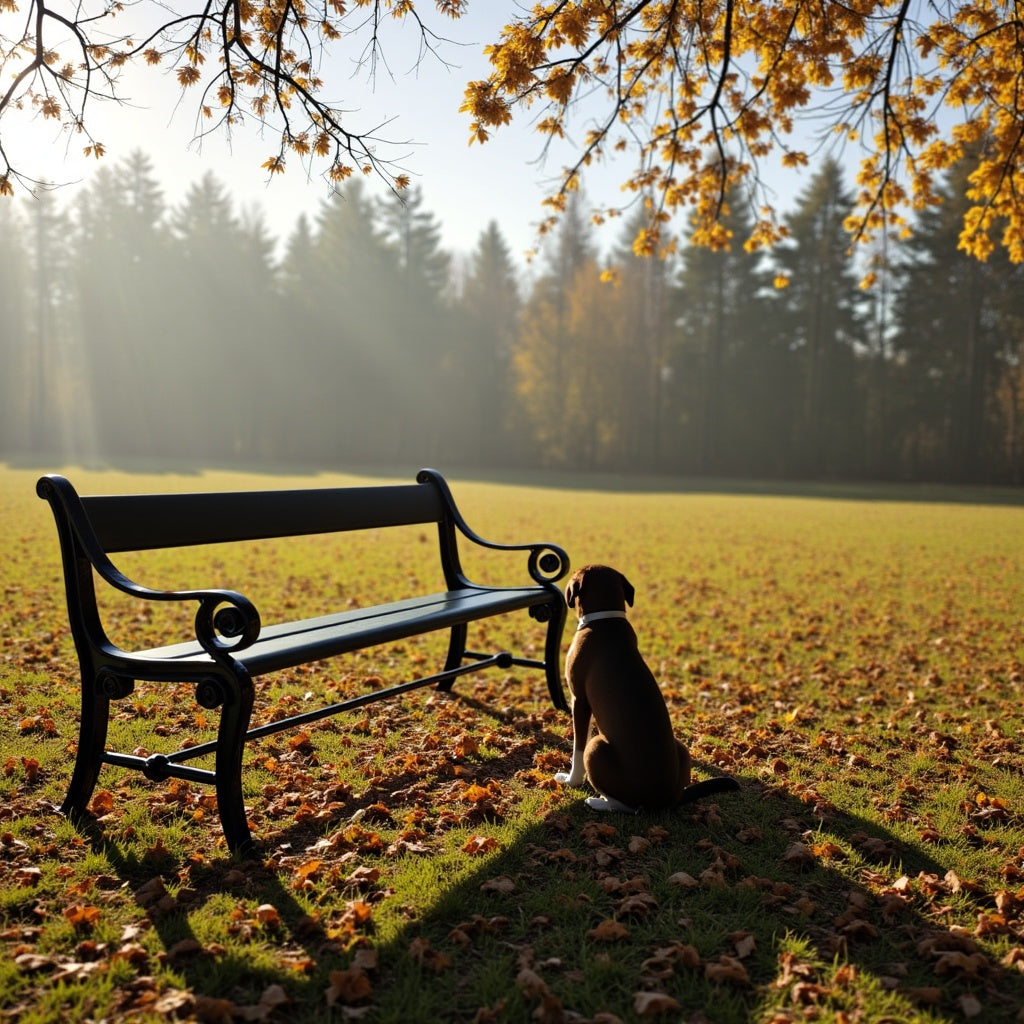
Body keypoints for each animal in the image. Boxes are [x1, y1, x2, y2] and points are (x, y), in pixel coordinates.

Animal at [552, 565, 737, 811]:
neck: (605, 620)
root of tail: (665, 802)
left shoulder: (579, 701)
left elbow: (577, 748)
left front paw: (571, 780)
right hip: (681, 748)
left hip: (597, 746)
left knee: (625, 806)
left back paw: (598, 802)